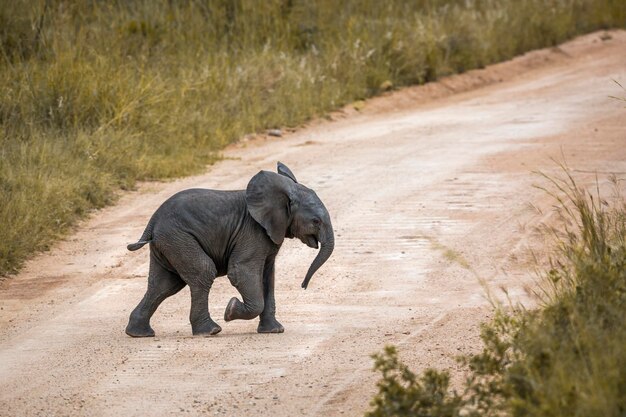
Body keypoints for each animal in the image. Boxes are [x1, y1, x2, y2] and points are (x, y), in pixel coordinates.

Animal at [123, 161, 334, 336]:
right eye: (316, 221)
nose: (303, 286)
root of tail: (153, 221)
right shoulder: (252, 233)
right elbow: (241, 271)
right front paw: (230, 310)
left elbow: (268, 277)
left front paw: (274, 331)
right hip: (178, 237)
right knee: (202, 271)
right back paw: (211, 331)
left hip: (169, 242)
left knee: (165, 285)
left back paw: (139, 333)